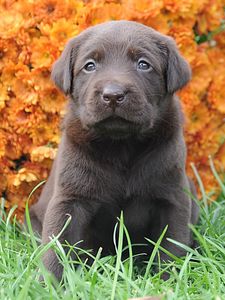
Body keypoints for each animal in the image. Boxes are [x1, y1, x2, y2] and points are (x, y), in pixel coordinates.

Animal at [28, 21, 199, 282]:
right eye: (90, 66)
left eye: (143, 64)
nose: (113, 95)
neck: (121, 145)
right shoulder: (70, 199)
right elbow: (57, 244)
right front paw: (49, 283)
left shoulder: (173, 198)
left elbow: (172, 245)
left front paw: (170, 281)